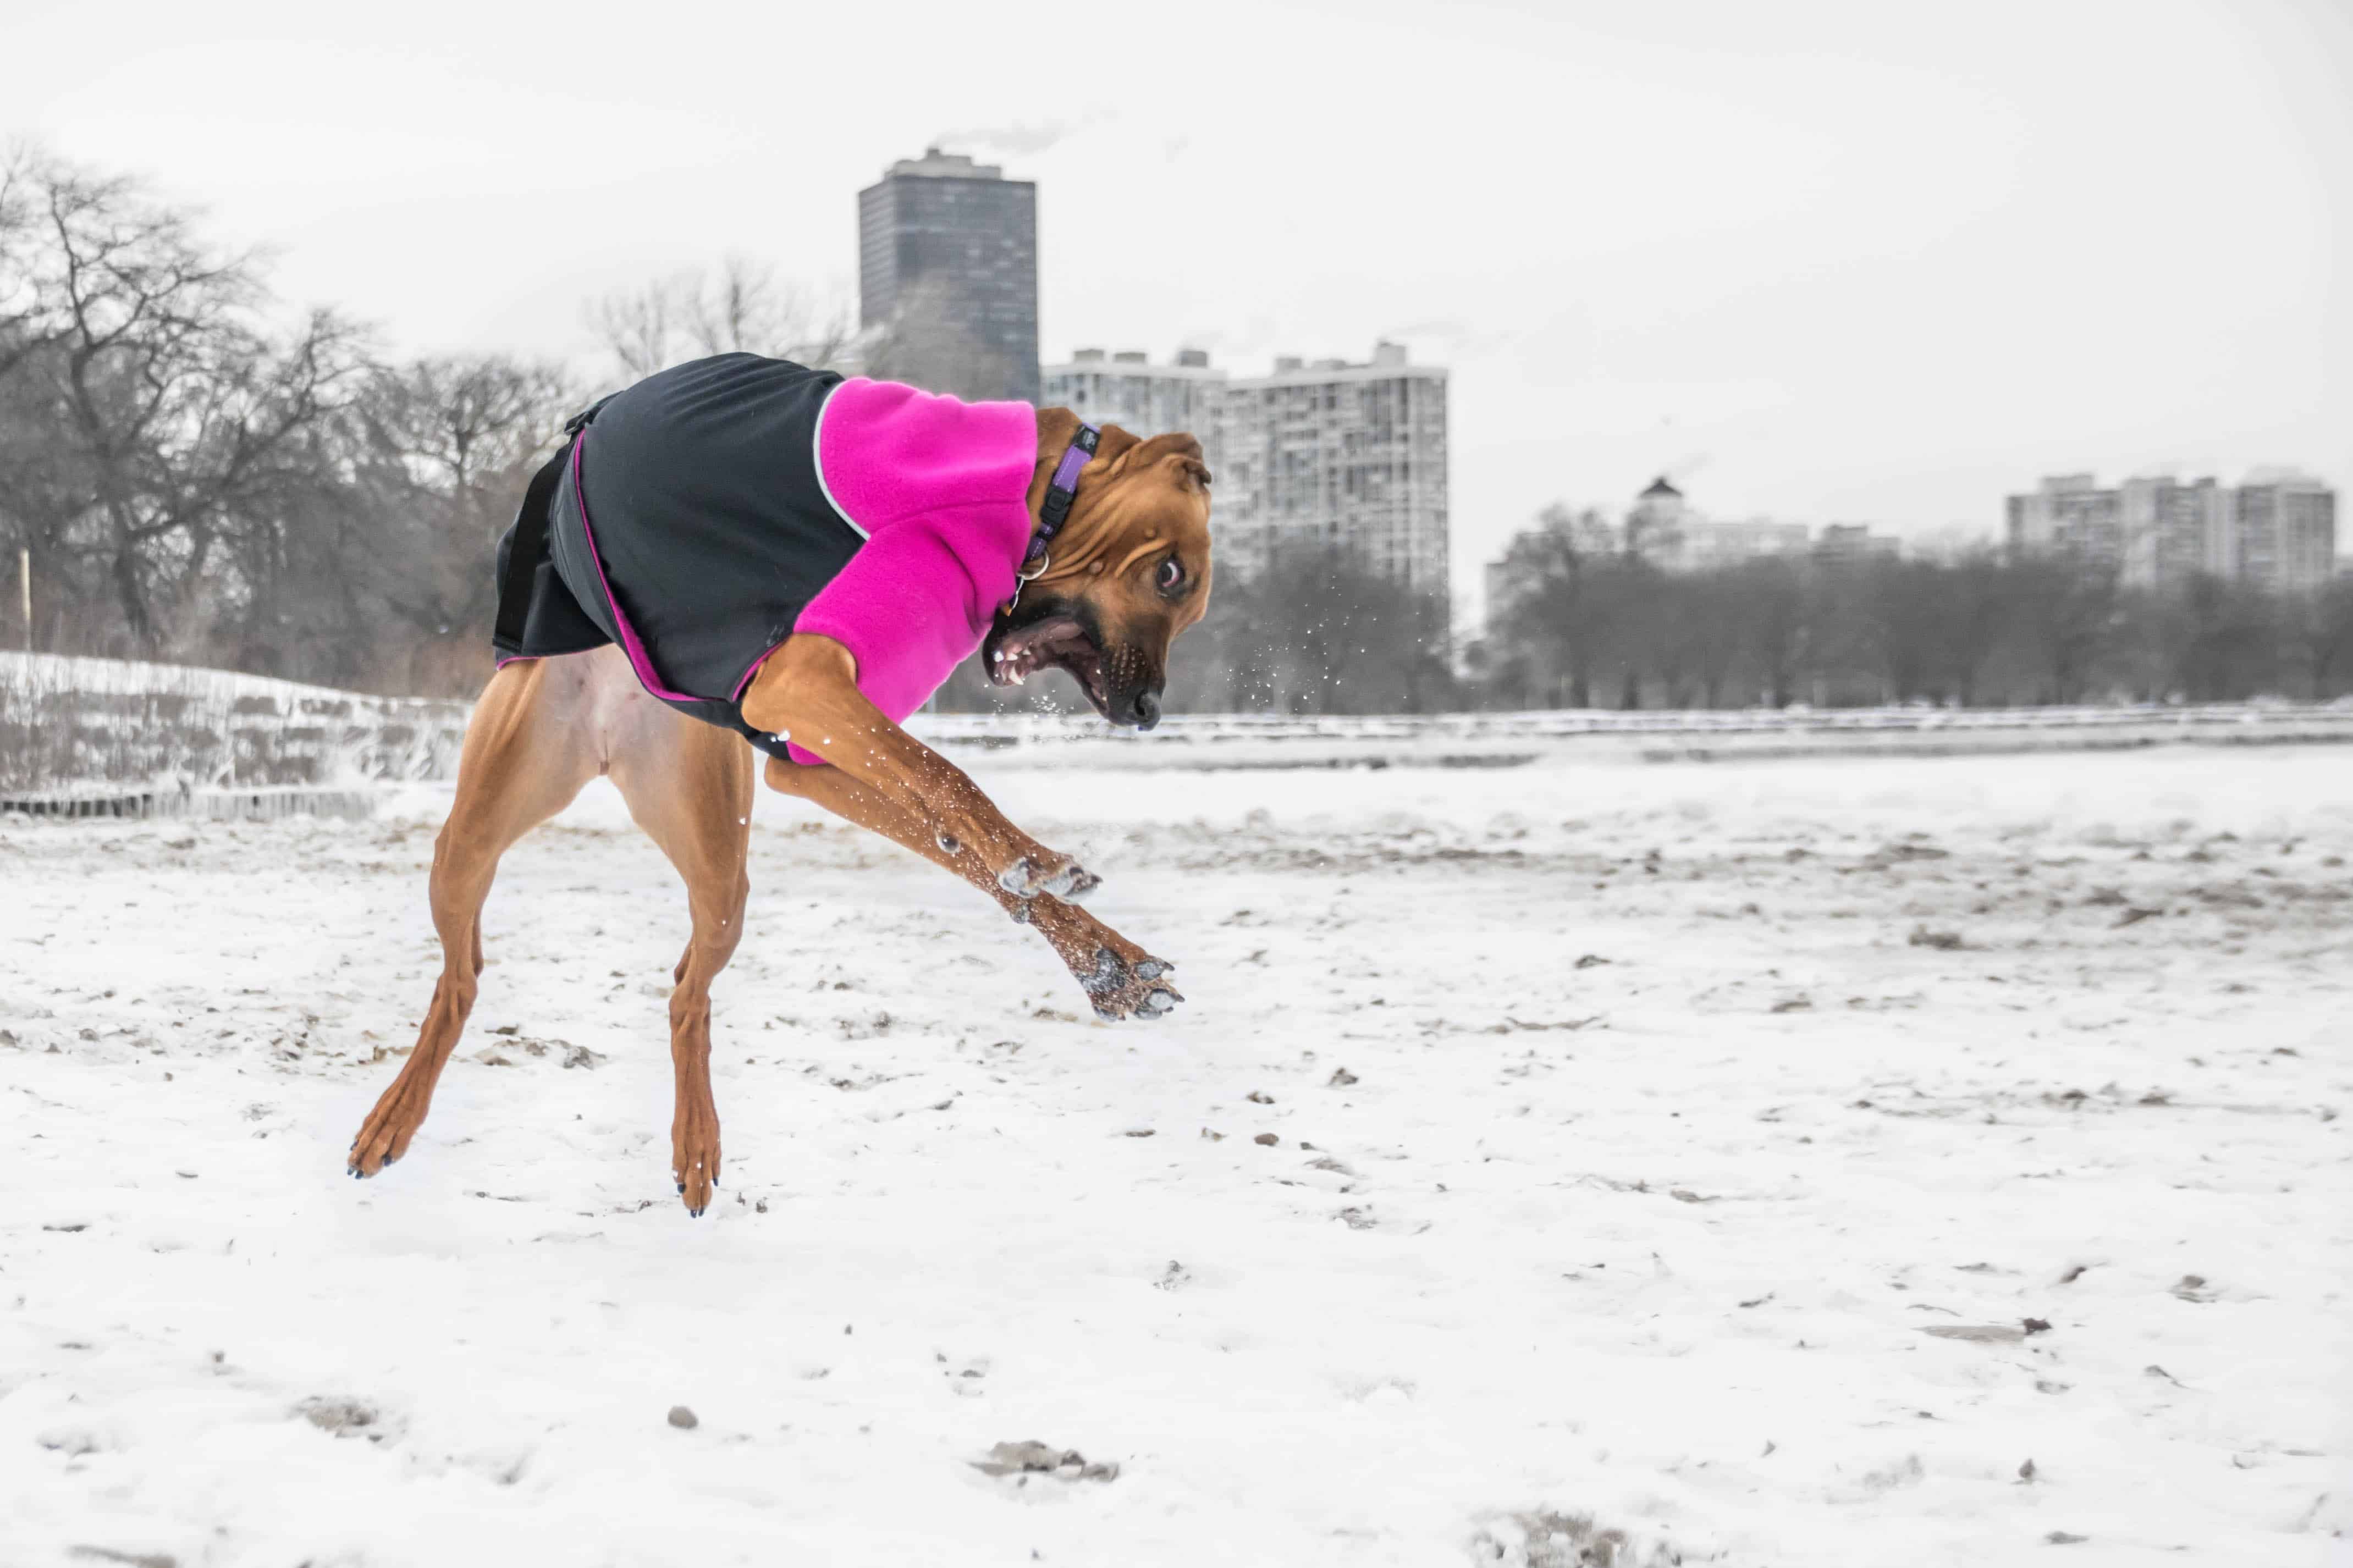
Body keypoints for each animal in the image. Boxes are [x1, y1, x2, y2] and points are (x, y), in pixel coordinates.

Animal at [343, 409, 1214, 1213]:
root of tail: (613, 722)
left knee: (685, 996)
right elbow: (951, 780)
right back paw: (394, 1117)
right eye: (1169, 574)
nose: (1147, 711)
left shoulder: (812, 753)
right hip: (471, 832)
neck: (1043, 494)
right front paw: (1040, 871)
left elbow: (955, 830)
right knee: (462, 980)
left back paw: (695, 1144)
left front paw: (1105, 963)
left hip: (714, 858)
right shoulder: (799, 683)